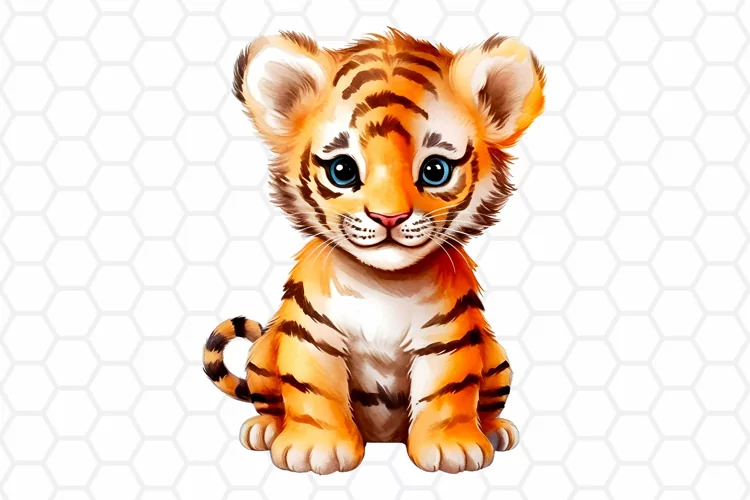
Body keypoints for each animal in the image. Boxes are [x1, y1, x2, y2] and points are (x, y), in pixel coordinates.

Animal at [202, 28, 545, 474]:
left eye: (435, 170)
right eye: (343, 171)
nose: (388, 217)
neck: (385, 284)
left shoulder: (449, 340)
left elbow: (448, 392)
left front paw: (452, 446)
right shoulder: (311, 336)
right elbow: (313, 391)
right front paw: (316, 449)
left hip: (498, 358)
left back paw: (495, 430)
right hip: (262, 353)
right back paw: (263, 429)